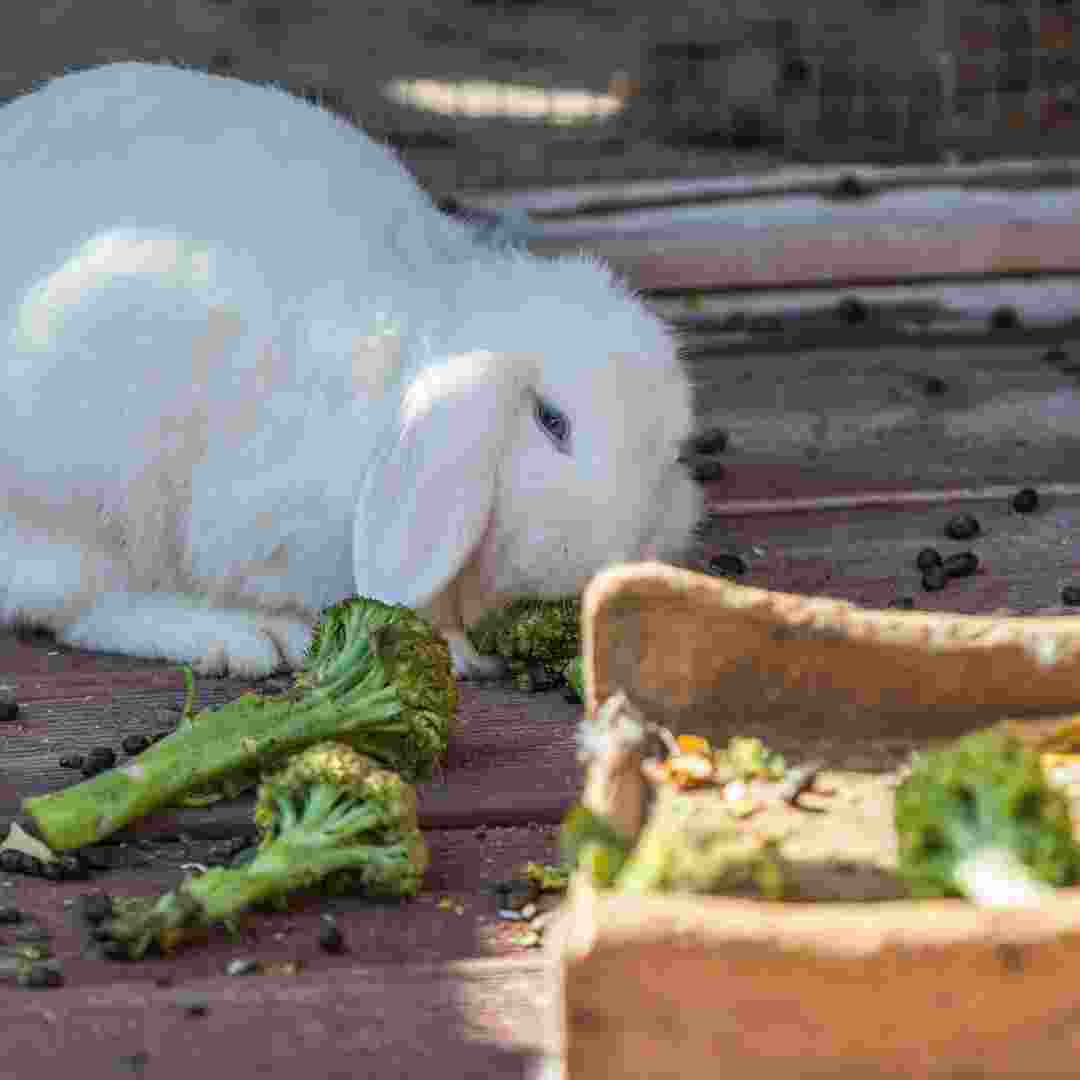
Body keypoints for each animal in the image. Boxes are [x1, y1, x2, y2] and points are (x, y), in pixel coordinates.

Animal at [0, 61, 704, 673]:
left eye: (672, 453)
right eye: (552, 421)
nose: (616, 564)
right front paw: (456, 653)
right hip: (85, 486)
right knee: (79, 604)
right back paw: (239, 638)